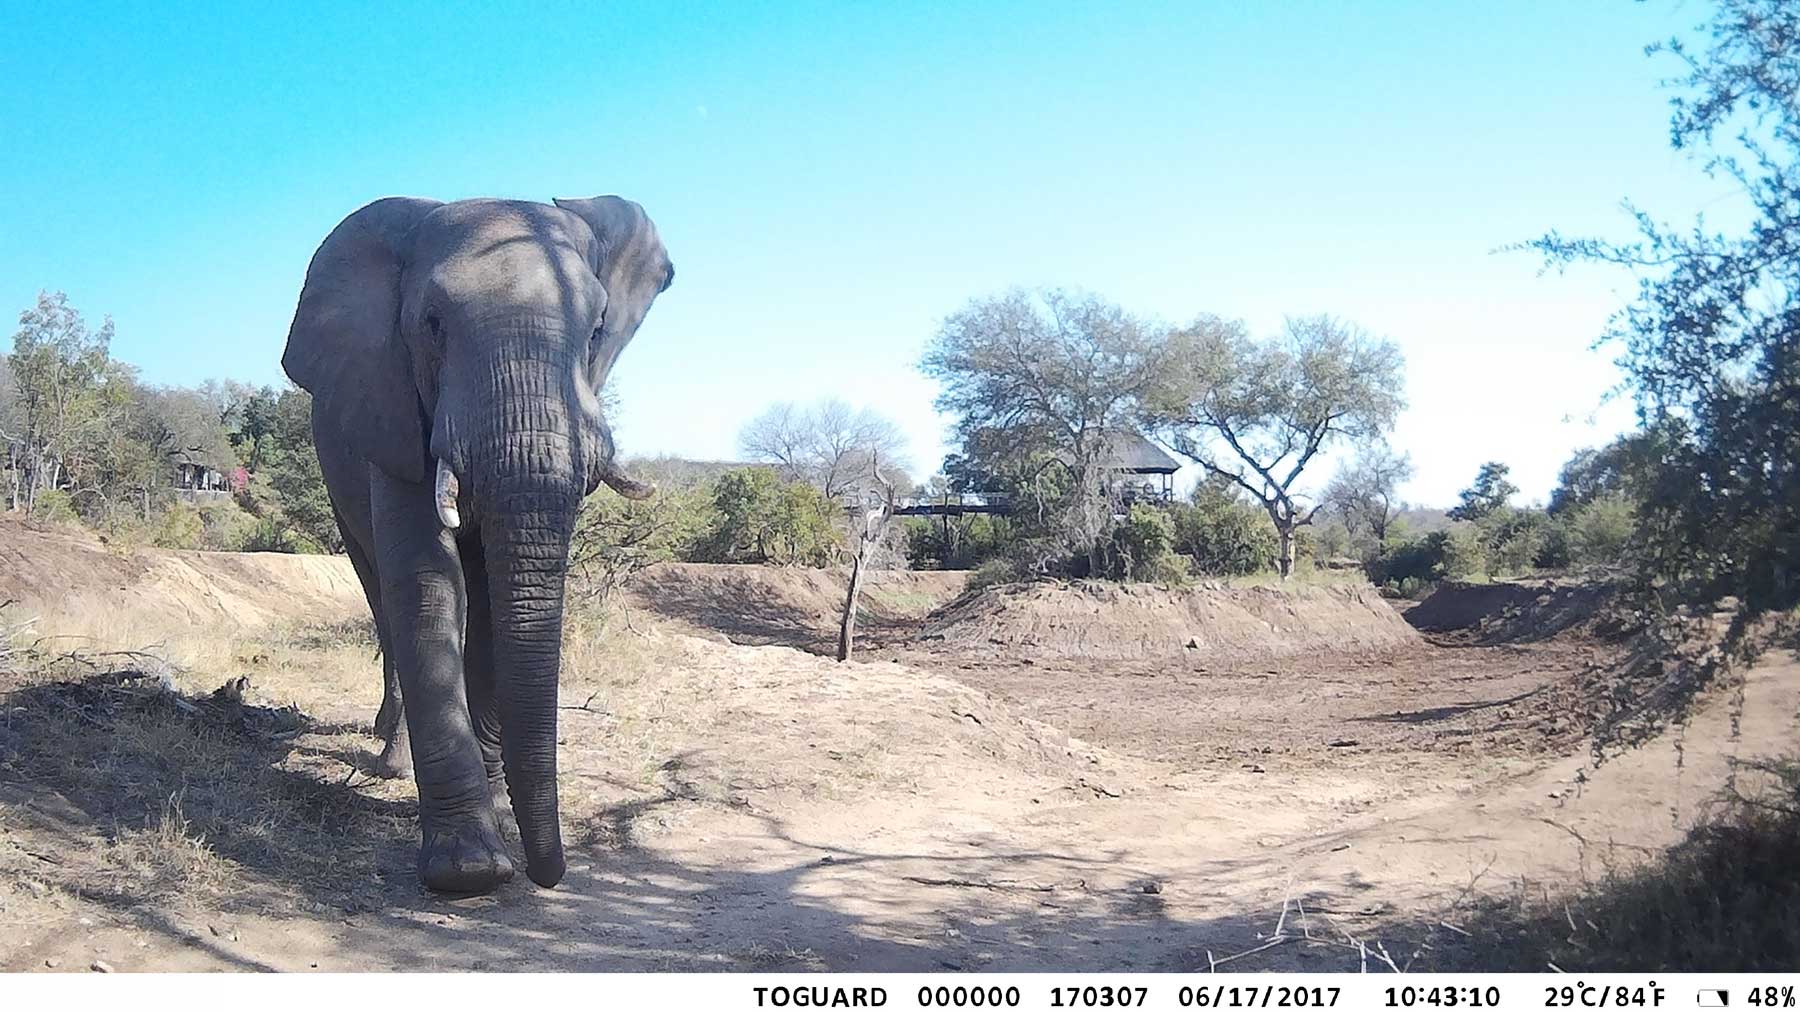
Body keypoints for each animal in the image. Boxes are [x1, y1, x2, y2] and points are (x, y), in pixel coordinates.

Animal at [281, 194, 673, 893]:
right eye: (432, 325)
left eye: (598, 330)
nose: (549, 874)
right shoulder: (394, 406)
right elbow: (427, 582)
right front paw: (470, 871)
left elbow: (493, 597)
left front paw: (498, 810)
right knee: (381, 593)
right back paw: (391, 763)